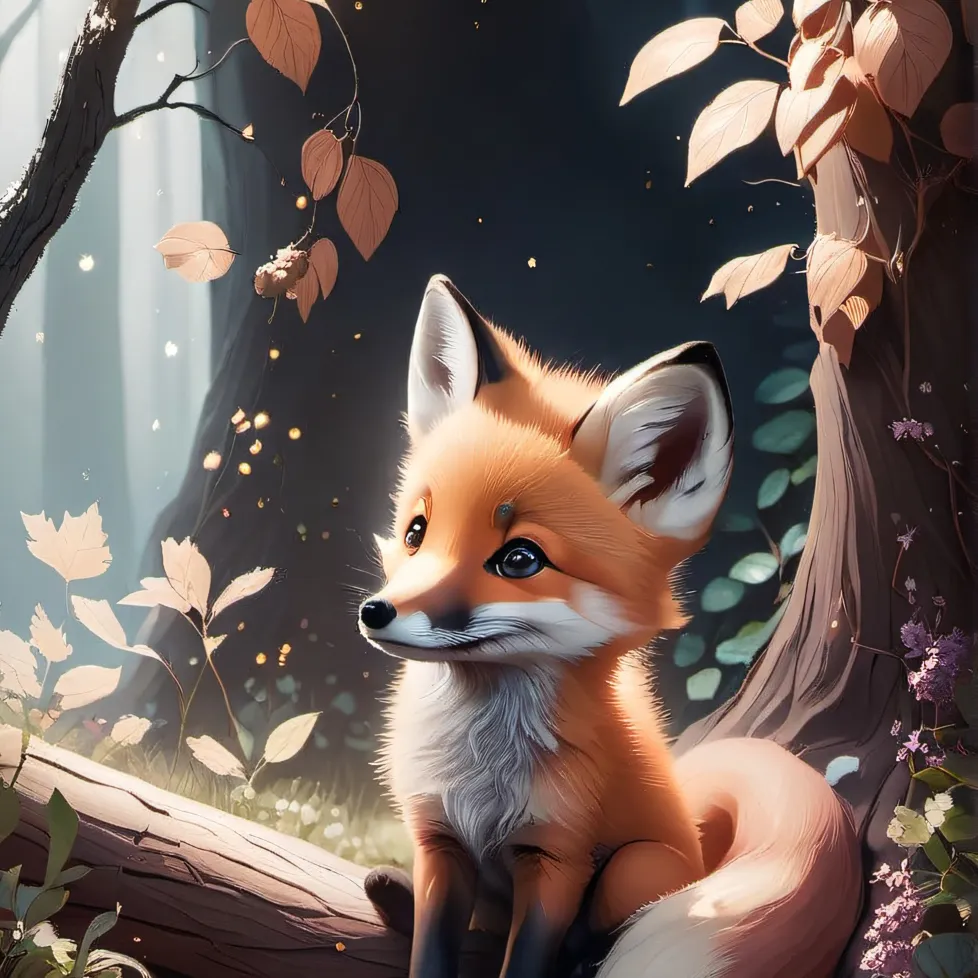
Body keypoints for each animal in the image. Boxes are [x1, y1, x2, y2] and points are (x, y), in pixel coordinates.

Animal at [356, 274, 864, 978]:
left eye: (520, 559)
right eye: (416, 532)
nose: (376, 612)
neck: (480, 773)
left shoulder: (557, 859)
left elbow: (529, 959)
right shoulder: (440, 842)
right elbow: (431, 950)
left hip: (637, 866)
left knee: (604, 935)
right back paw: (389, 893)